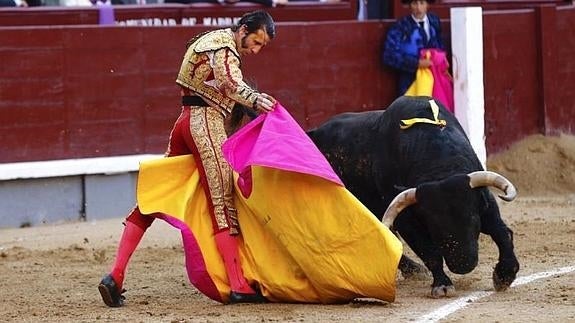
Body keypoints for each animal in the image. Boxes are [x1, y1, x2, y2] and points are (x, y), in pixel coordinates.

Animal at [306, 95, 520, 298]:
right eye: (433, 226)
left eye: (473, 219)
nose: (463, 265)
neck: (440, 167)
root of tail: (314, 132)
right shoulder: (406, 221)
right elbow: (430, 252)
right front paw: (442, 285)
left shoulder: (485, 204)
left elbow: (502, 233)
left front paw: (505, 275)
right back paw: (414, 270)